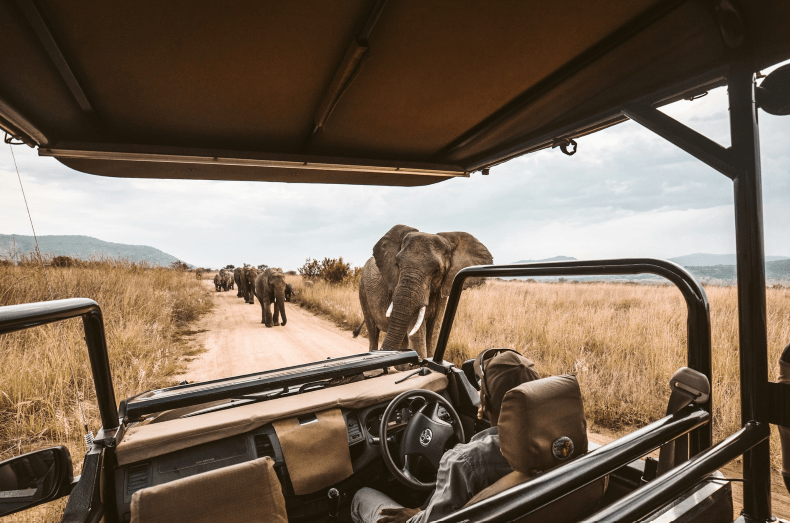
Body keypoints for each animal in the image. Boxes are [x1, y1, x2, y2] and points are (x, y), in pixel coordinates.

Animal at [360, 225, 496, 360]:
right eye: (397, 264)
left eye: (437, 270)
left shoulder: (443, 289)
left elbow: (433, 332)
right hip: (362, 290)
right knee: (373, 332)